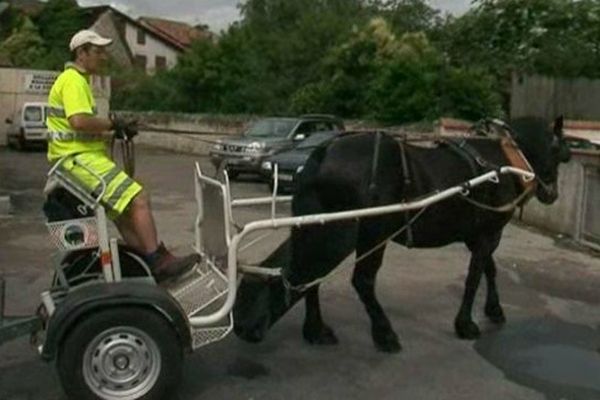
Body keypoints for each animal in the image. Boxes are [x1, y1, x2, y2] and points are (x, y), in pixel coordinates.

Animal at [232, 116, 568, 354]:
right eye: (557, 150)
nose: (552, 194)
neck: (504, 160)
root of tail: (321, 155)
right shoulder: (488, 233)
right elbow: (475, 276)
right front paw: (466, 324)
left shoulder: (479, 234)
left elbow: (490, 269)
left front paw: (494, 311)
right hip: (366, 232)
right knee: (358, 280)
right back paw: (384, 333)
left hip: (324, 226)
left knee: (310, 273)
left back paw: (316, 330)